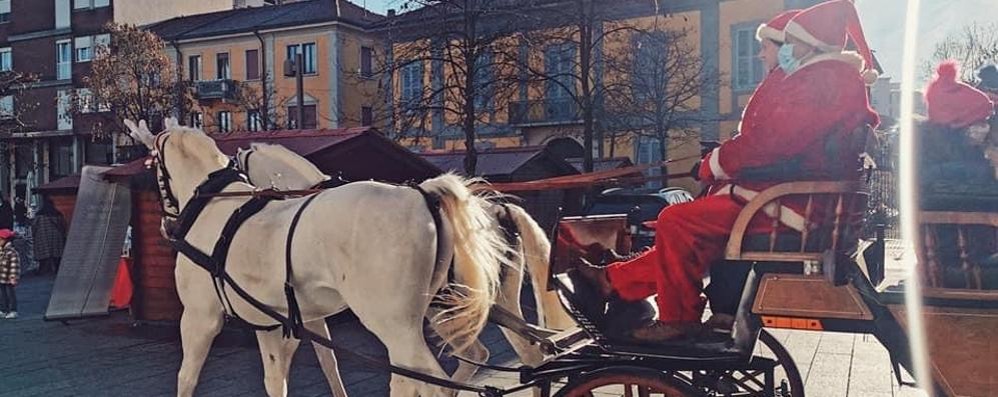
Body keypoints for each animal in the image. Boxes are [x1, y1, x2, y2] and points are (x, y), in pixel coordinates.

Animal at [122, 120, 520, 396]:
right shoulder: (274, 324)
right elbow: (283, 378)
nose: (167, 223)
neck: (216, 205)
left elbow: (186, 378)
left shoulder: (198, 318)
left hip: (396, 325)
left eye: (152, 167)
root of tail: (422, 195)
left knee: (430, 382)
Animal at [234, 142, 576, 390]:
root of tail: (500, 210)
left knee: (465, 358)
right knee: (526, 353)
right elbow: (328, 359)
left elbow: (327, 359)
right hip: (492, 302)